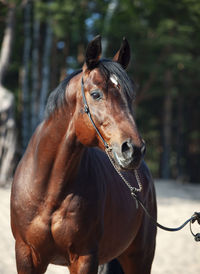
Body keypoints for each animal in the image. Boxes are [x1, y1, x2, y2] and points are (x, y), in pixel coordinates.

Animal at [10, 35, 157, 272]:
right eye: (96, 94)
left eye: (130, 97)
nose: (134, 149)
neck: (49, 192)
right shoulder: (26, 254)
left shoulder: (84, 257)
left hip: (139, 258)